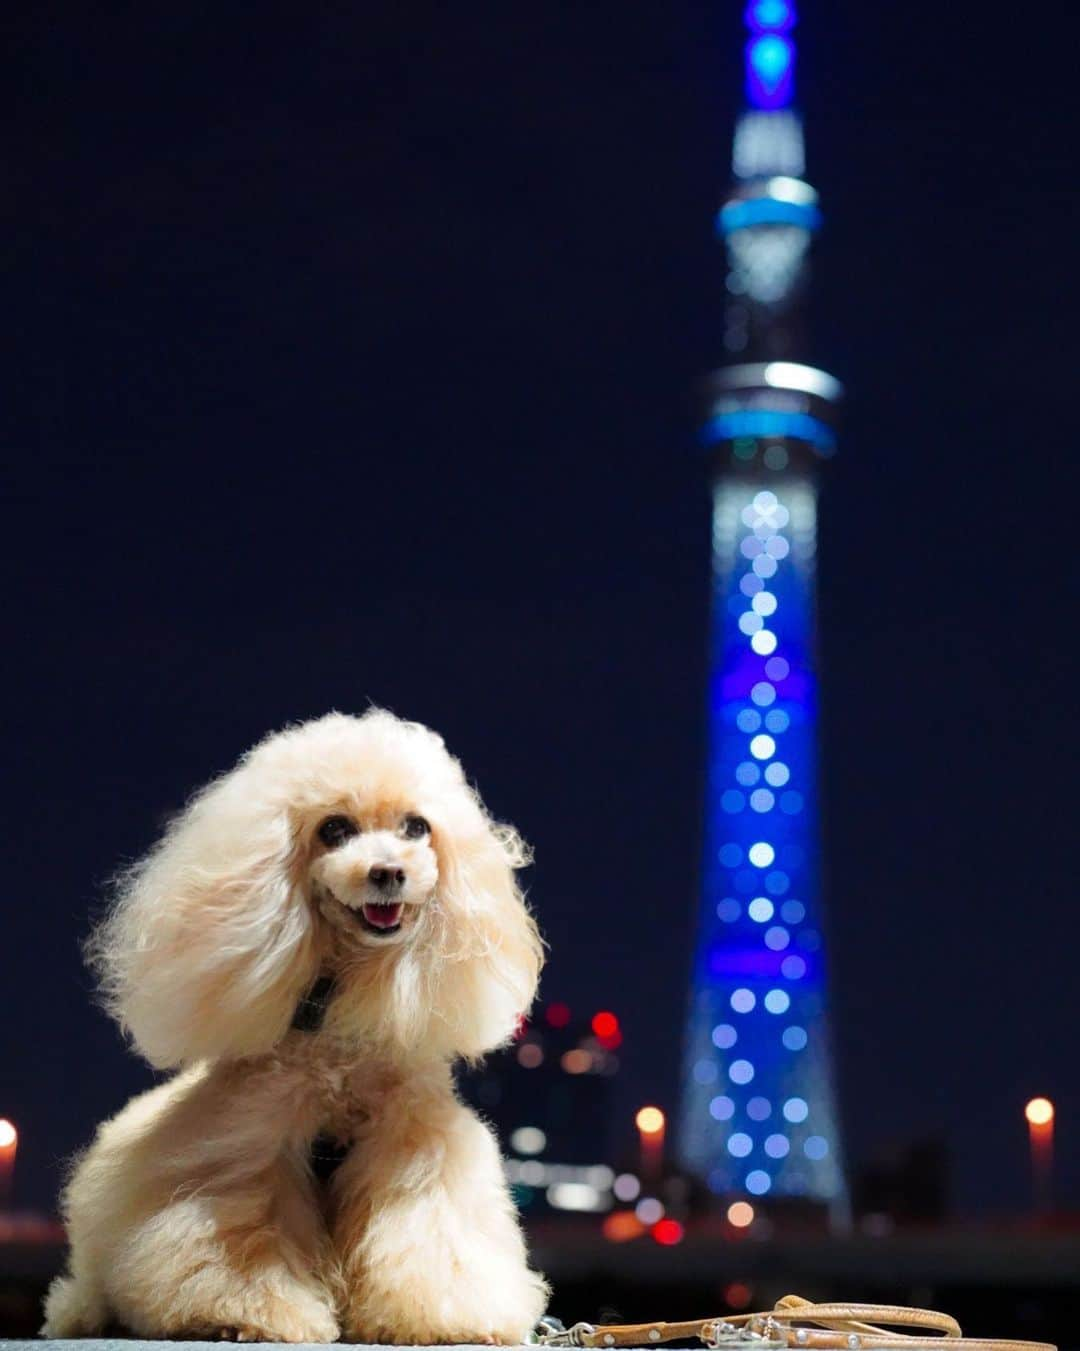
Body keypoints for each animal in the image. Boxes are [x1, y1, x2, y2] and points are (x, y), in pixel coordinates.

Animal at [42, 707, 548, 1340]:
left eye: (416, 827)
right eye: (334, 829)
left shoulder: (410, 1143)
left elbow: (426, 1228)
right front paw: (244, 1312)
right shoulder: (253, 1146)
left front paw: (440, 1315)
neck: (335, 1022)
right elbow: (248, 1230)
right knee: (83, 1290)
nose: (388, 872)